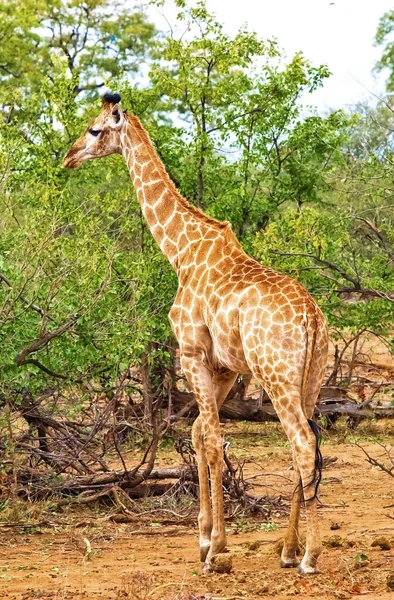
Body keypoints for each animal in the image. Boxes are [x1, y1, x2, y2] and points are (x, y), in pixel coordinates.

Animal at [63, 94, 330, 576]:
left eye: (95, 130)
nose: (69, 156)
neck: (181, 253)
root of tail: (313, 320)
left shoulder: (191, 353)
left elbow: (212, 442)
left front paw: (215, 548)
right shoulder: (223, 366)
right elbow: (199, 436)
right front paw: (205, 537)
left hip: (277, 376)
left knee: (301, 444)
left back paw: (308, 557)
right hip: (312, 379)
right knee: (306, 445)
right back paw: (286, 550)